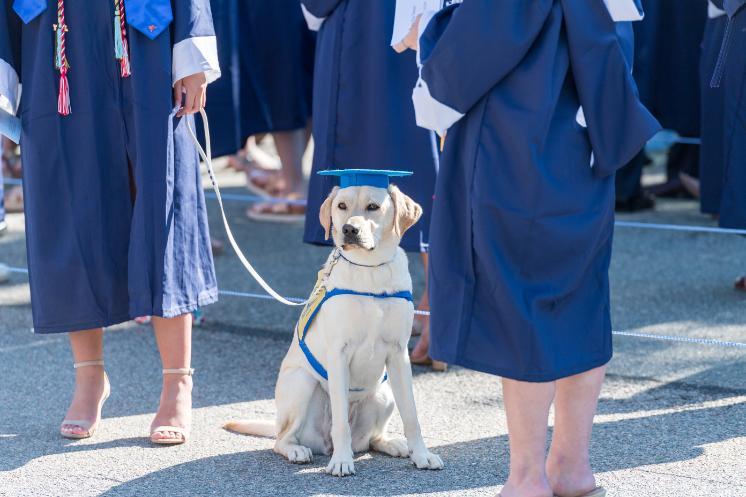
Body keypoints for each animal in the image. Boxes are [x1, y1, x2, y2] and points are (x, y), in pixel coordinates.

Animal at [225, 176, 442, 474]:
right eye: (341, 206)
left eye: (373, 207)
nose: (349, 229)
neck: (370, 269)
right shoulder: (339, 353)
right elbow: (341, 422)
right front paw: (341, 461)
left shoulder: (399, 354)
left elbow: (411, 414)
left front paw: (421, 454)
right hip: (301, 384)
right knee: (282, 439)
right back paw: (298, 450)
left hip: (383, 393)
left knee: (371, 439)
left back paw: (391, 444)